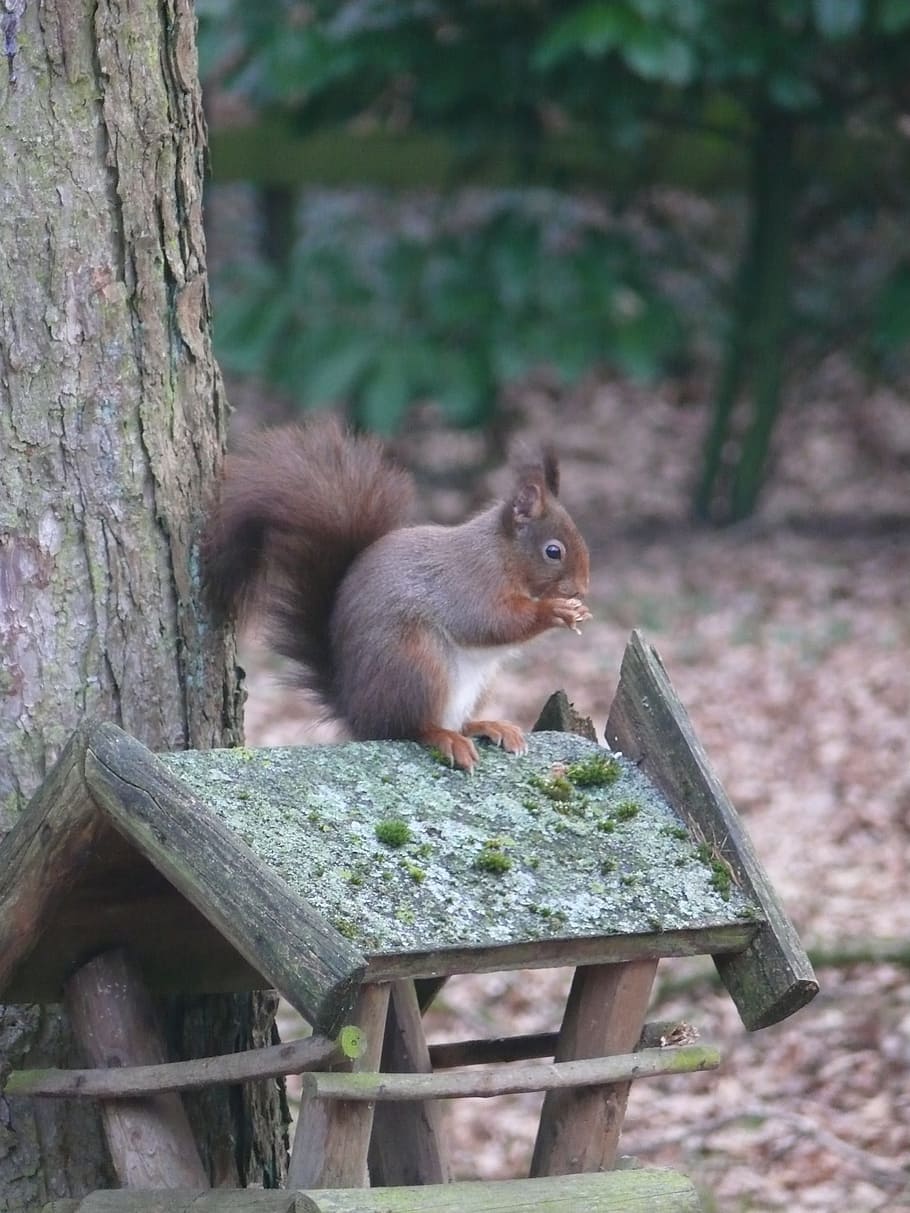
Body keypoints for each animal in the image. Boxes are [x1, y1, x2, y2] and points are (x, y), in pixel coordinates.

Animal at [202, 416, 591, 771]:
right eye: (553, 551)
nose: (583, 587)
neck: (503, 554)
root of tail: (356, 711)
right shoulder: (471, 583)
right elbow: (491, 623)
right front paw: (556, 610)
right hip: (417, 663)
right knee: (406, 727)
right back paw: (444, 738)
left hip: (480, 683)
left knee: (453, 721)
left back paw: (487, 726)